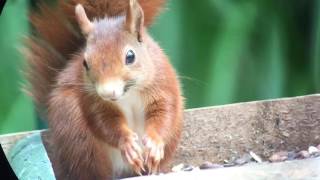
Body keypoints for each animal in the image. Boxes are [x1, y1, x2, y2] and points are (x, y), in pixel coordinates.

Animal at [25, 0, 182, 179]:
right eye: (85, 63)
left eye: (130, 56)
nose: (107, 92)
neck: (128, 94)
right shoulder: (95, 102)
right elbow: (105, 123)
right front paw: (127, 143)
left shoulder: (162, 85)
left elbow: (164, 114)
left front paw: (154, 143)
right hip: (79, 138)